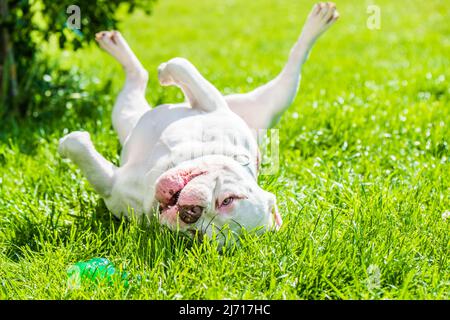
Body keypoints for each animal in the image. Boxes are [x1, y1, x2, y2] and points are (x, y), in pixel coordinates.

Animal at [59, 2, 340, 241]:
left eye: (197, 237)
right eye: (228, 200)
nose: (191, 214)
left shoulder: (112, 185)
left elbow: (84, 155)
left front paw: (69, 143)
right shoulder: (212, 103)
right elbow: (181, 64)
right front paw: (166, 73)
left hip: (128, 117)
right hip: (264, 102)